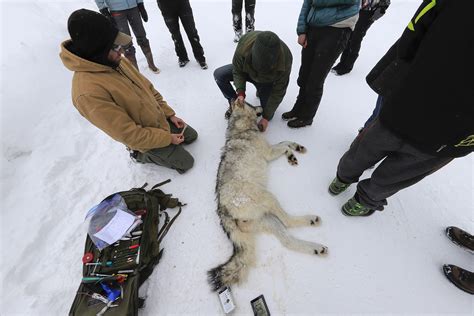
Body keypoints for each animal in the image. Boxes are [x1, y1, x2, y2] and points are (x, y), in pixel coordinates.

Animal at [209, 101, 328, 292]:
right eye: (251, 104)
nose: (261, 106)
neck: (242, 128)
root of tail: (222, 211)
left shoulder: (271, 147)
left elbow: (285, 141)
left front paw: (296, 147)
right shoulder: (269, 153)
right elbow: (283, 146)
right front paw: (291, 154)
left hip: (269, 220)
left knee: (288, 241)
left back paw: (316, 245)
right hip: (268, 197)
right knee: (287, 222)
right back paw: (311, 223)